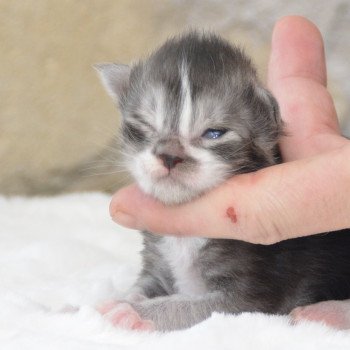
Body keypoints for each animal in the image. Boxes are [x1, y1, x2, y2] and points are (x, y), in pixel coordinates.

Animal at [95, 32, 350, 330]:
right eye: (146, 125)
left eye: (214, 133)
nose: (169, 155)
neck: (185, 238)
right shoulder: (157, 266)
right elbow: (142, 285)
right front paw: (96, 304)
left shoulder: (251, 294)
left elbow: (186, 306)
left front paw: (131, 312)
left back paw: (325, 312)